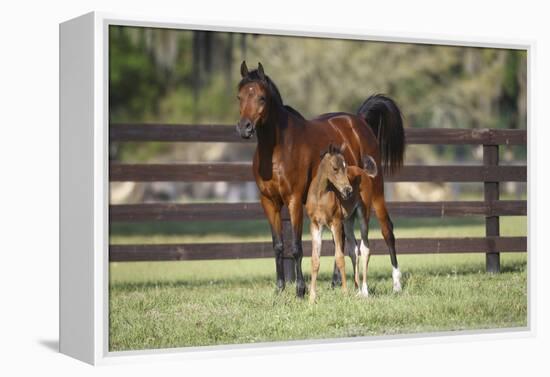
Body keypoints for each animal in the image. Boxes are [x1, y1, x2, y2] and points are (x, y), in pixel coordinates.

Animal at [306, 142, 380, 302]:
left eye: (346, 168)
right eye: (335, 168)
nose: (348, 191)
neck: (320, 196)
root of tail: (364, 172)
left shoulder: (335, 223)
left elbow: (339, 257)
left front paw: (345, 293)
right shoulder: (316, 225)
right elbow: (315, 260)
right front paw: (312, 298)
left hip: (362, 216)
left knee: (365, 248)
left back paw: (364, 291)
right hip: (348, 221)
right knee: (354, 249)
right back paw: (357, 290)